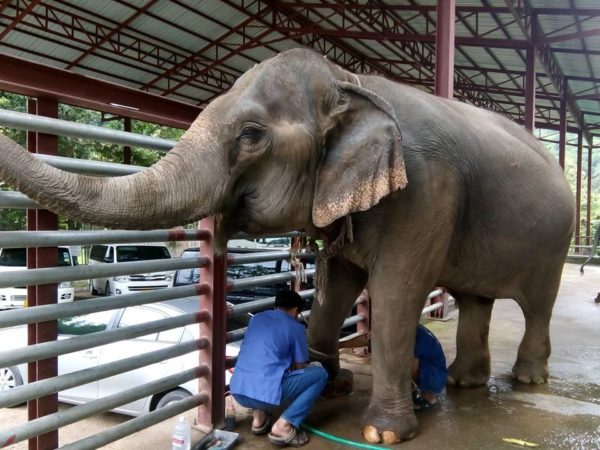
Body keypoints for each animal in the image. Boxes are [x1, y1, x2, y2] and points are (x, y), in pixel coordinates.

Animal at [0, 48, 576, 442]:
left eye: (252, 135)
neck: (350, 83)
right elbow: (334, 285)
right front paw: (330, 382)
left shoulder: (425, 192)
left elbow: (395, 293)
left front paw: (383, 433)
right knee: (477, 300)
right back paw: (464, 385)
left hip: (554, 243)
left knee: (537, 304)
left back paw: (526, 379)